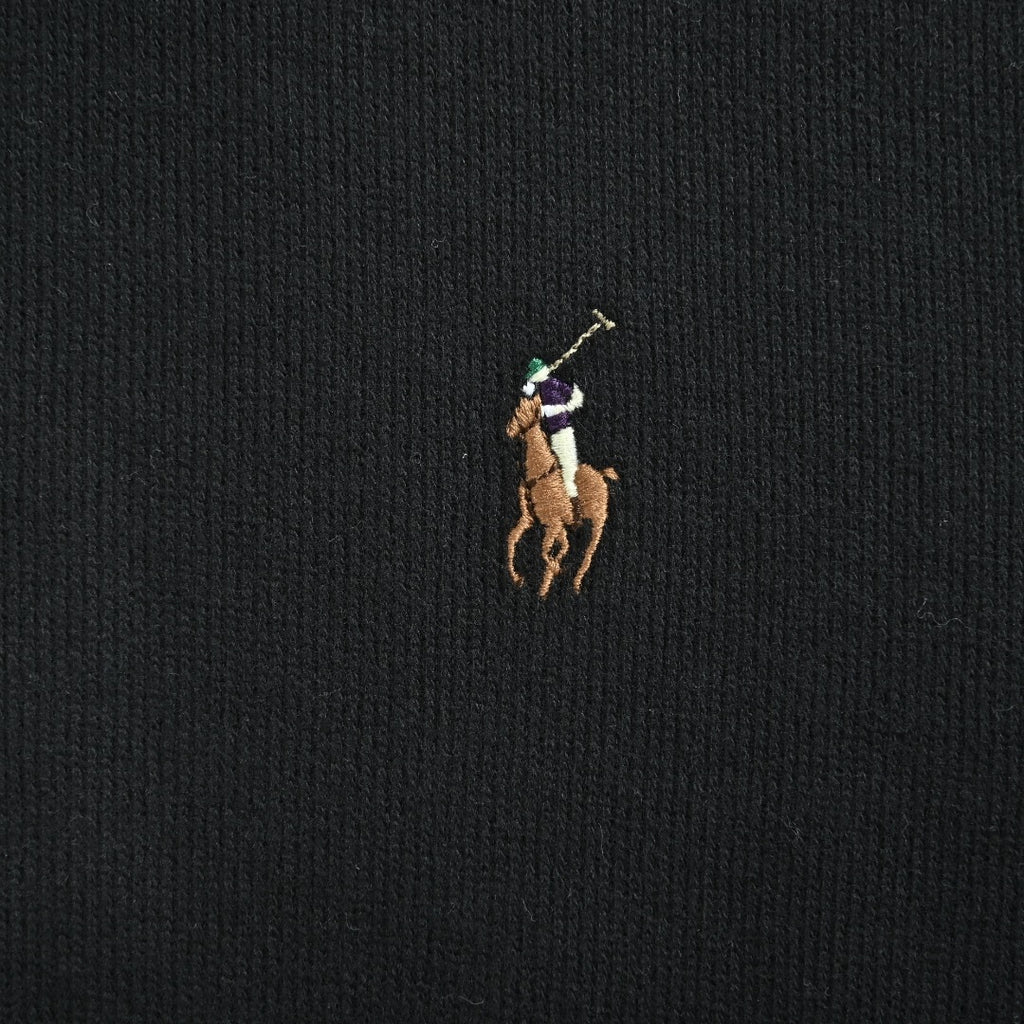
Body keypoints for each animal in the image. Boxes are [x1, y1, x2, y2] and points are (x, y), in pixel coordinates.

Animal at [505, 395, 619, 597]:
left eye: (522, 416)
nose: (508, 430)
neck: (541, 473)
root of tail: (600, 473)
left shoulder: (554, 523)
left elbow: (545, 551)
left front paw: (551, 576)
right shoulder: (530, 519)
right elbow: (513, 539)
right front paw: (518, 578)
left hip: (598, 518)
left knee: (590, 550)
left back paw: (576, 582)